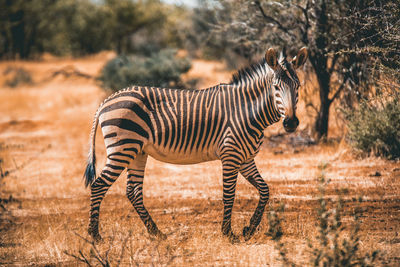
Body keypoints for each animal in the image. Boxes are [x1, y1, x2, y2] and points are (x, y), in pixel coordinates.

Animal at [84, 47, 308, 244]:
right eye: (276, 87)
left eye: (297, 86)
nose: (291, 123)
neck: (248, 111)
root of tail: (107, 100)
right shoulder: (230, 155)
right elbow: (229, 195)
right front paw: (228, 233)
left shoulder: (246, 159)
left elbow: (264, 190)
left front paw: (249, 228)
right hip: (122, 148)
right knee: (99, 185)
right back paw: (95, 235)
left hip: (137, 152)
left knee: (133, 192)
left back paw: (156, 233)